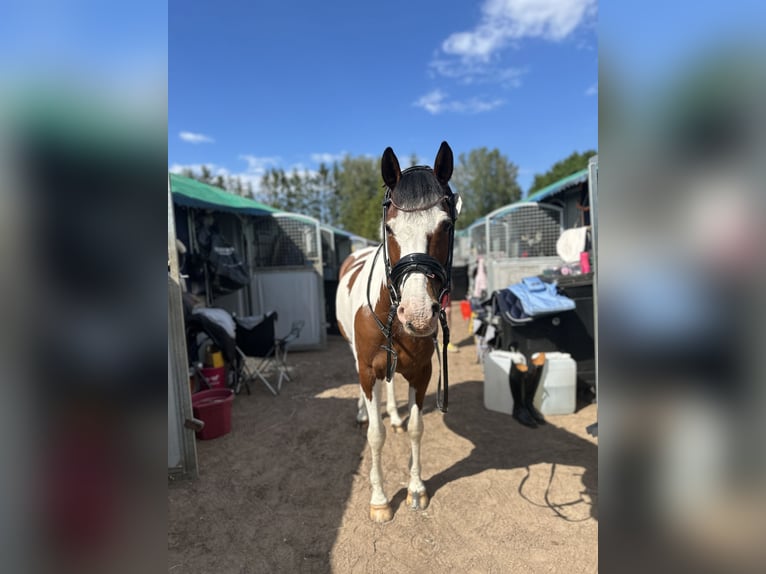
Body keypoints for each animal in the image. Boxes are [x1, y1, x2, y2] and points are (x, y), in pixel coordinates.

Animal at [334, 142, 456, 524]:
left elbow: (417, 429)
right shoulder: (367, 370)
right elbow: (376, 435)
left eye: (445, 225)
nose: (417, 314)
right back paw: (363, 413)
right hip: (356, 357)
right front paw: (380, 500)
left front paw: (416, 489)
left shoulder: (422, 372)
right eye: (390, 229)